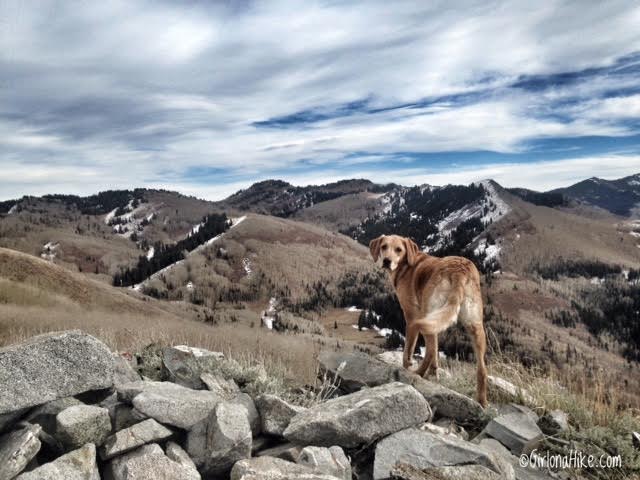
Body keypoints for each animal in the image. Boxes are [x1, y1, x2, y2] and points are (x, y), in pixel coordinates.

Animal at [368, 234, 488, 406]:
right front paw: (433, 375)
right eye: (384, 247)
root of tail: (460, 271)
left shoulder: (411, 317)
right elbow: (436, 354)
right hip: (474, 326)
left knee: (430, 351)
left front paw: (407, 367)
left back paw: (417, 373)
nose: (386, 261)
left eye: (399, 250)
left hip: (425, 316)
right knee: (482, 369)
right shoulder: (435, 322)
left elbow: (408, 350)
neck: (406, 265)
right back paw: (482, 401)